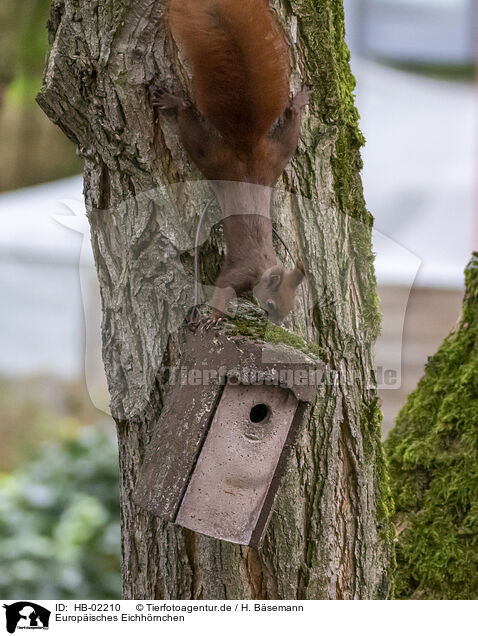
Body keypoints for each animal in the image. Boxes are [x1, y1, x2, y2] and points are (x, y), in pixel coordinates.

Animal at [153, 0, 310, 326]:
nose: (277, 323)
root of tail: (246, 148)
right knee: (190, 125)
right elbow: (223, 289)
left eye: (288, 308)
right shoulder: (238, 272)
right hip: (216, 158)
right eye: (272, 304)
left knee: (289, 131)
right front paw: (214, 316)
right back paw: (174, 102)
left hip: (274, 159)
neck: (263, 267)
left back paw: (298, 103)